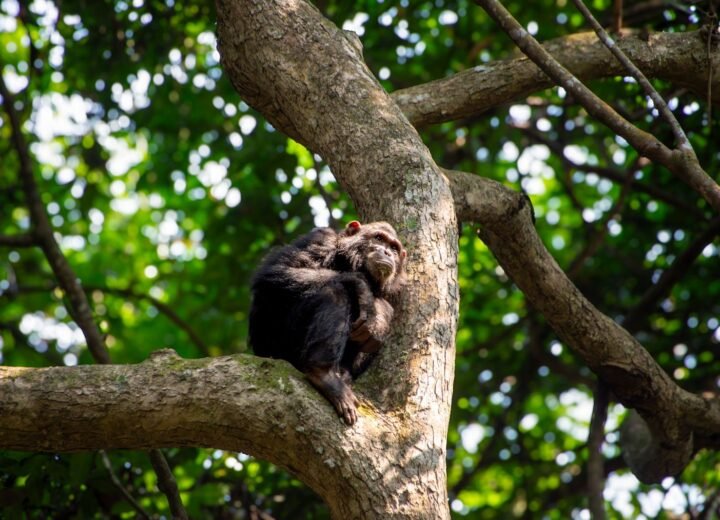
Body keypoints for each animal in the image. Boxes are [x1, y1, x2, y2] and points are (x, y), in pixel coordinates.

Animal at [248, 221, 406, 425]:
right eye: (379, 238)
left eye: (394, 248)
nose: (387, 252)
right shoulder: (320, 239)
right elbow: (276, 272)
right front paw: (362, 285)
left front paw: (380, 317)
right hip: (278, 348)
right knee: (334, 292)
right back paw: (325, 375)